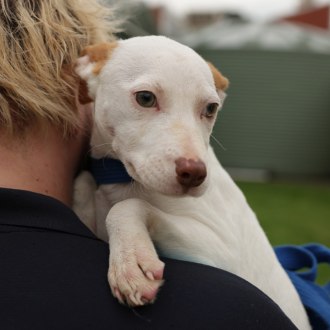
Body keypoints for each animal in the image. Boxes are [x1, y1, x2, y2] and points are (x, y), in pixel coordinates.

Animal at [73, 34, 310, 328]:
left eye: (210, 108)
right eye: (145, 98)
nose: (195, 174)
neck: (120, 179)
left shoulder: (224, 255)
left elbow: (124, 207)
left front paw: (131, 262)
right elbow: (83, 186)